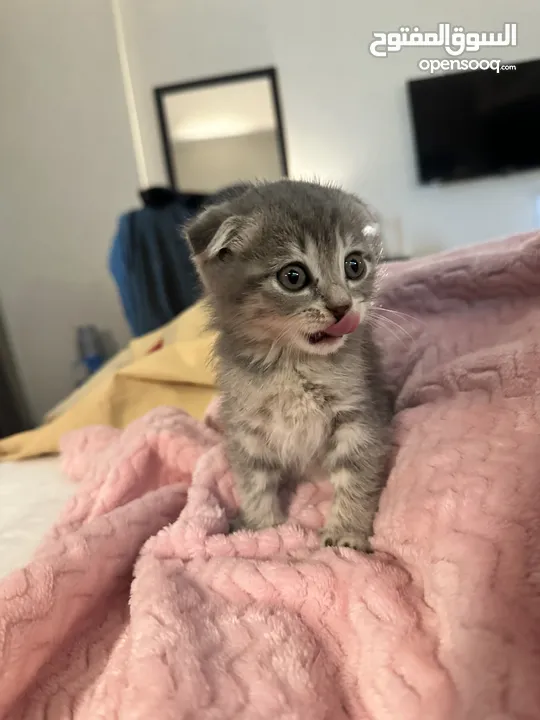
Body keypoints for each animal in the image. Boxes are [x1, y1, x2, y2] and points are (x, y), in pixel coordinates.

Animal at [186, 180, 392, 552]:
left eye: (354, 265)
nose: (343, 307)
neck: (293, 366)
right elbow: (253, 481)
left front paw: (346, 533)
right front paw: (262, 528)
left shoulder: (360, 413)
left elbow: (357, 473)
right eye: (293, 277)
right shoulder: (246, 427)